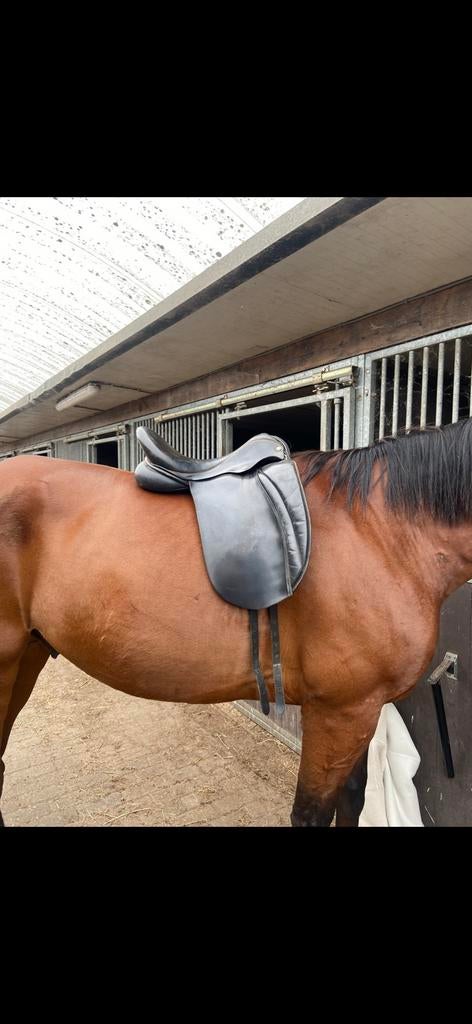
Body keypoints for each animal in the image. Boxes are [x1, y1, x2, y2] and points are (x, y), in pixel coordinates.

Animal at [2, 416, 472, 827]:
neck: (381, 532)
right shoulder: (340, 712)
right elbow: (311, 813)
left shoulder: (364, 709)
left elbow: (353, 801)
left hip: (28, 655)